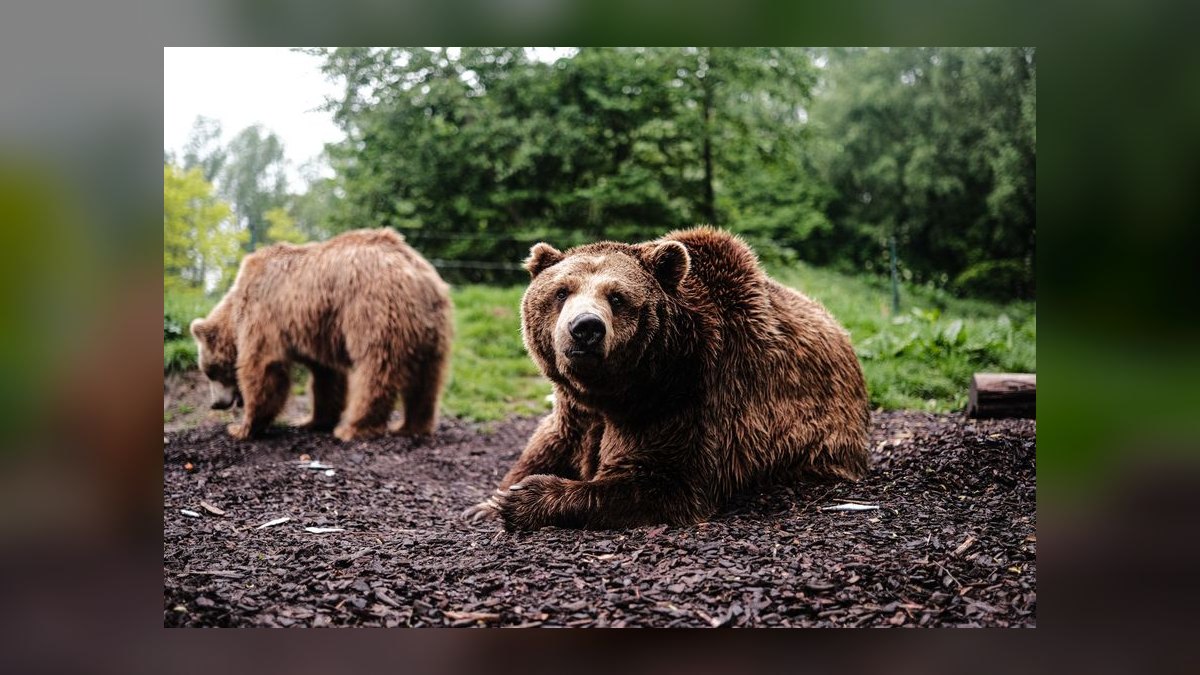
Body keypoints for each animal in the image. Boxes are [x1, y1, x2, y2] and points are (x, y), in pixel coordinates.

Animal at [189, 228, 453, 442]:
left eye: (209, 371)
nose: (215, 404)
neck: (235, 311)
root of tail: (412, 269)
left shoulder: (265, 313)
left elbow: (262, 366)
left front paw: (242, 427)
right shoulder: (315, 331)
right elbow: (327, 377)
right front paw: (311, 420)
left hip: (372, 309)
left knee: (375, 370)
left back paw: (353, 428)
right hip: (430, 326)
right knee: (427, 378)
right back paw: (410, 426)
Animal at [463, 226, 870, 530]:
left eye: (617, 297)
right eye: (561, 291)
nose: (585, 328)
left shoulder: (689, 398)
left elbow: (666, 481)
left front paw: (527, 498)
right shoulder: (576, 408)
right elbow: (550, 440)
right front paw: (488, 502)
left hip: (824, 438)